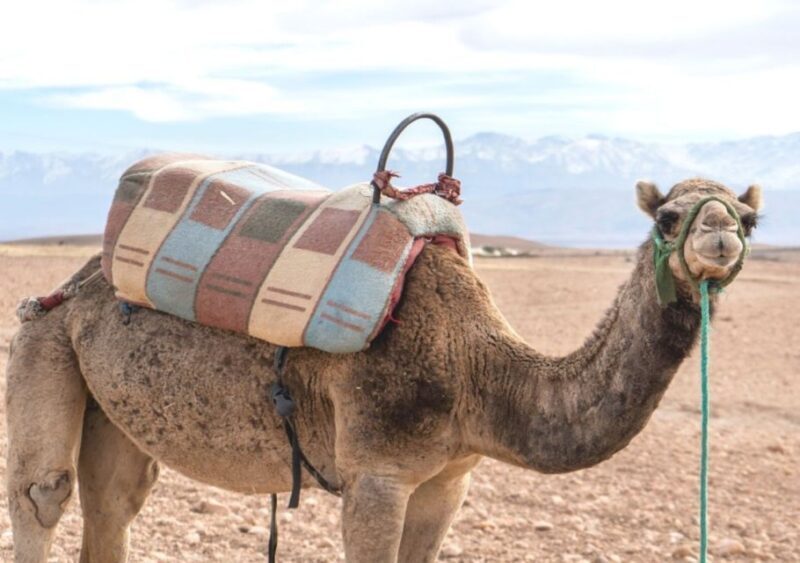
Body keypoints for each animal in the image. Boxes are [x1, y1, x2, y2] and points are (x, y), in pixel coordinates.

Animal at [5, 177, 762, 563]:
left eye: (752, 217)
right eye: (667, 217)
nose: (719, 234)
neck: (479, 370)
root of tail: (73, 283)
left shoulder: (450, 478)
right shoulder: (377, 472)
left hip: (115, 408)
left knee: (114, 503)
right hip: (42, 338)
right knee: (45, 494)